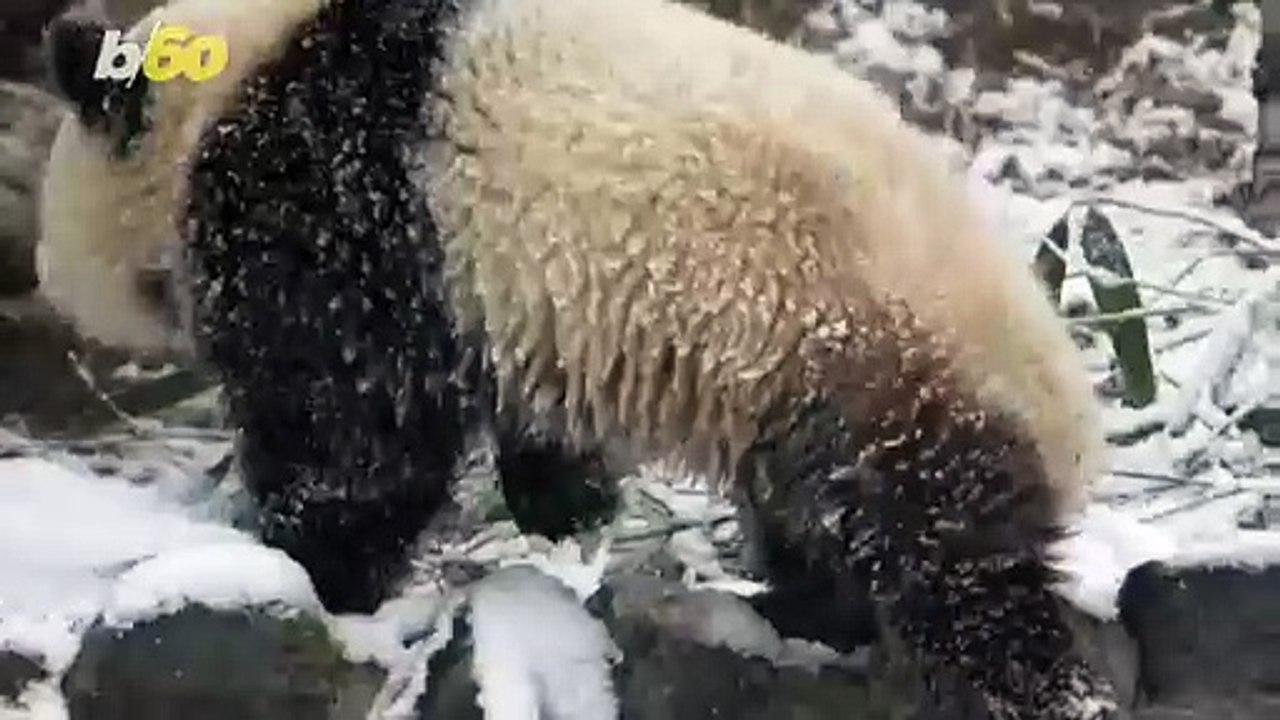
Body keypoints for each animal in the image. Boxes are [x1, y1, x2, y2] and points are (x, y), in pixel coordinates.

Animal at [37, 0, 1114, 716]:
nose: (47, 286)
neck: (226, 88)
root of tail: (1073, 414)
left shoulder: (336, 207)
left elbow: (355, 434)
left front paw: (303, 568)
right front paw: (567, 503)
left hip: (884, 361)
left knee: (955, 566)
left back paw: (1026, 685)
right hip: (809, 388)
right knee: (818, 522)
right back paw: (797, 610)